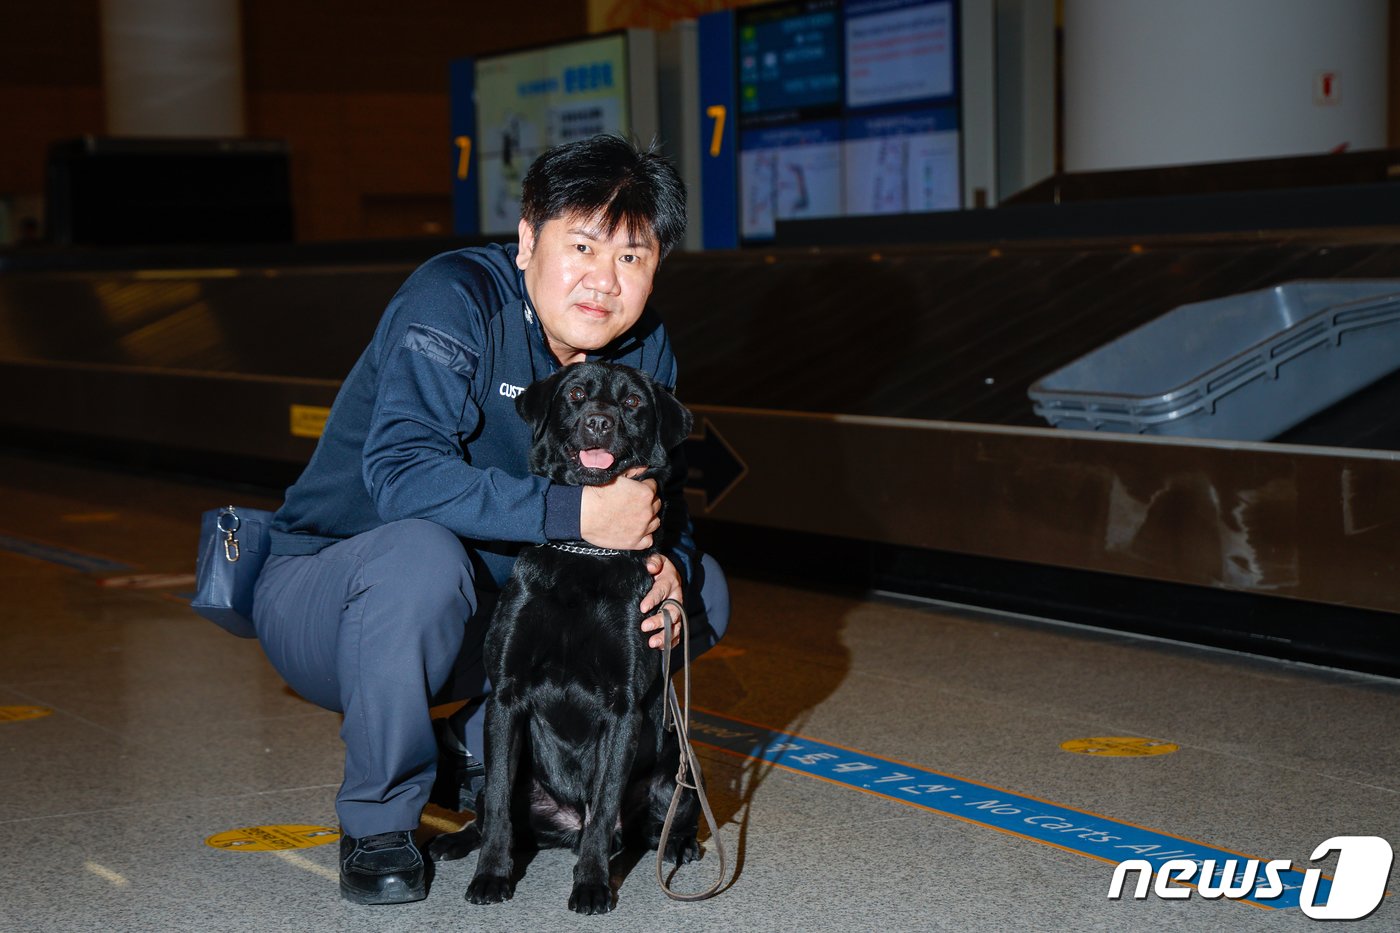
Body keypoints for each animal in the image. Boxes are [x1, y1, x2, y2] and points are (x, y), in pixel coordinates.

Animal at [428, 358, 700, 913]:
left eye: (633, 402)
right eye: (575, 394)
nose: (598, 422)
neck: (584, 554)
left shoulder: (624, 707)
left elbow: (603, 810)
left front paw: (592, 884)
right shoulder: (506, 697)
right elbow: (498, 812)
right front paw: (491, 876)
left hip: (674, 773)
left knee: (651, 822)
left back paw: (678, 846)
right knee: (493, 809)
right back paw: (455, 840)